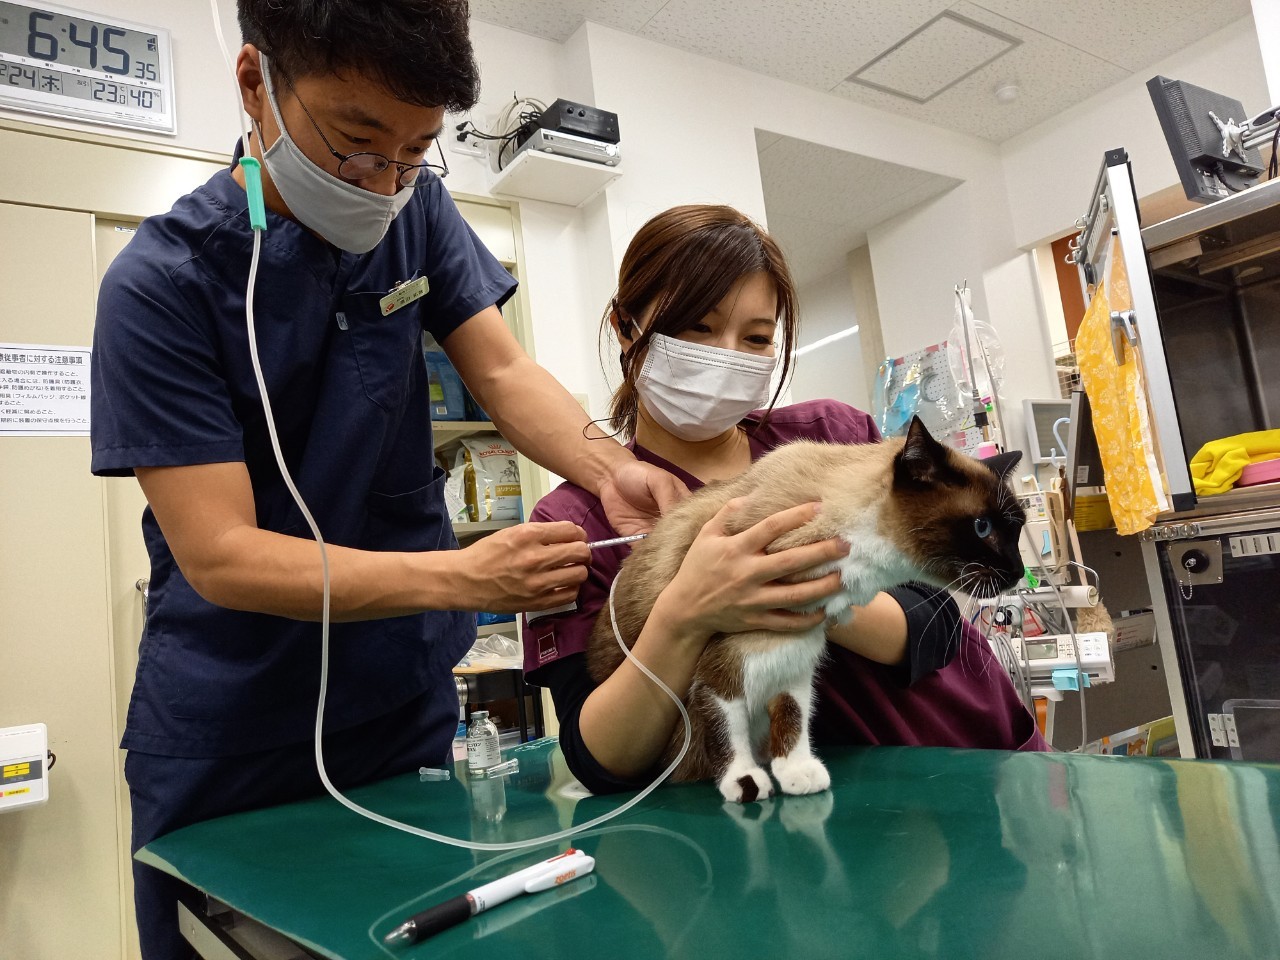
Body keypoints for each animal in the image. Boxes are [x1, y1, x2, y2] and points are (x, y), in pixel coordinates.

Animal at [586, 419, 1024, 803]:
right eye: (983, 528)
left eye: (1016, 531)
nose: (1019, 572)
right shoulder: (724, 666)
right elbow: (728, 730)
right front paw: (746, 783)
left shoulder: (794, 655)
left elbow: (793, 718)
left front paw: (797, 774)